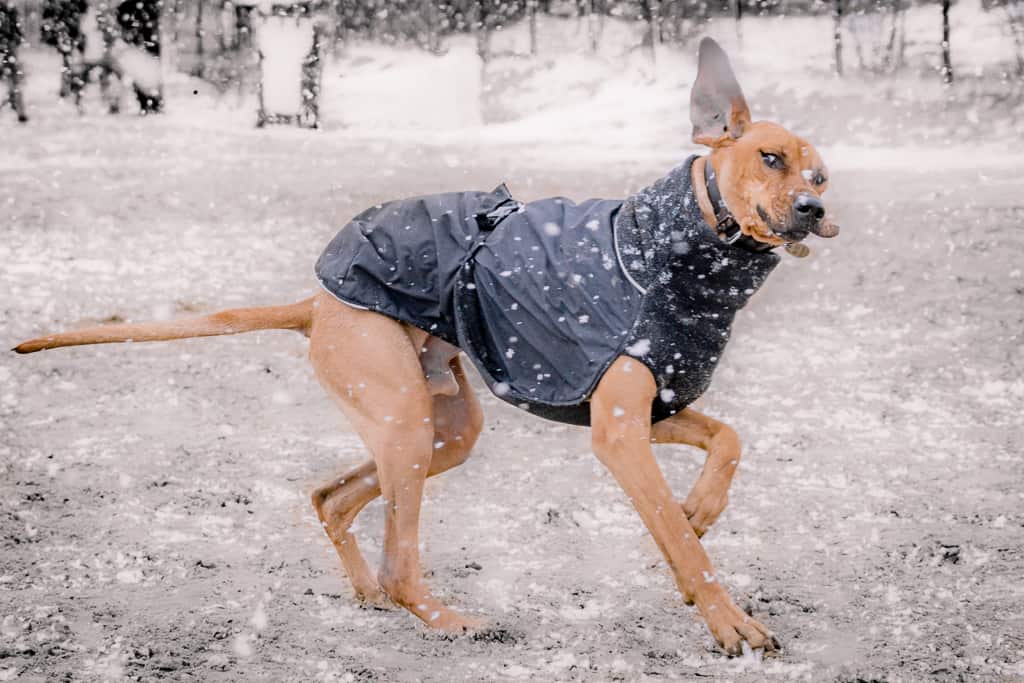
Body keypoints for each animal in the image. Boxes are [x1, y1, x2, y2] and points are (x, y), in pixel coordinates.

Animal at [12, 38, 835, 655]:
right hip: (406, 419)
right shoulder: (619, 430)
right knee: (400, 561)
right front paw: (729, 618)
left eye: (821, 173)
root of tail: (318, 302)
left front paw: (700, 510)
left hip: (439, 426)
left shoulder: (653, 408)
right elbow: (685, 544)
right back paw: (448, 619)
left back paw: (368, 593)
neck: (675, 255)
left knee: (334, 499)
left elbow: (727, 444)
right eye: (769, 157)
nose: (815, 207)